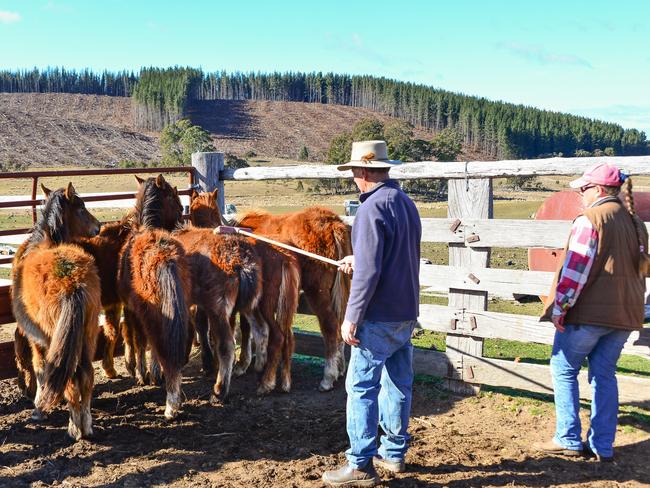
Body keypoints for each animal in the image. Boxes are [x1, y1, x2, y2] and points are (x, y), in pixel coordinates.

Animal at [11, 184, 101, 442]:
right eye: (81, 208)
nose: (98, 226)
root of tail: (73, 282)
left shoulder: (36, 339)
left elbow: (41, 368)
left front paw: (39, 409)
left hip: (56, 336)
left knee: (71, 376)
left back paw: (74, 428)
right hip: (88, 334)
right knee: (86, 375)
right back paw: (87, 425)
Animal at [190, 189, 302, 394]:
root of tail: (285, 257)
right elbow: (246, 329)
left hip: (267, 306)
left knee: (278, 336)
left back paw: (267, 382)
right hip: (285, 307)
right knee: (288, 337)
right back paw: (285, 381)